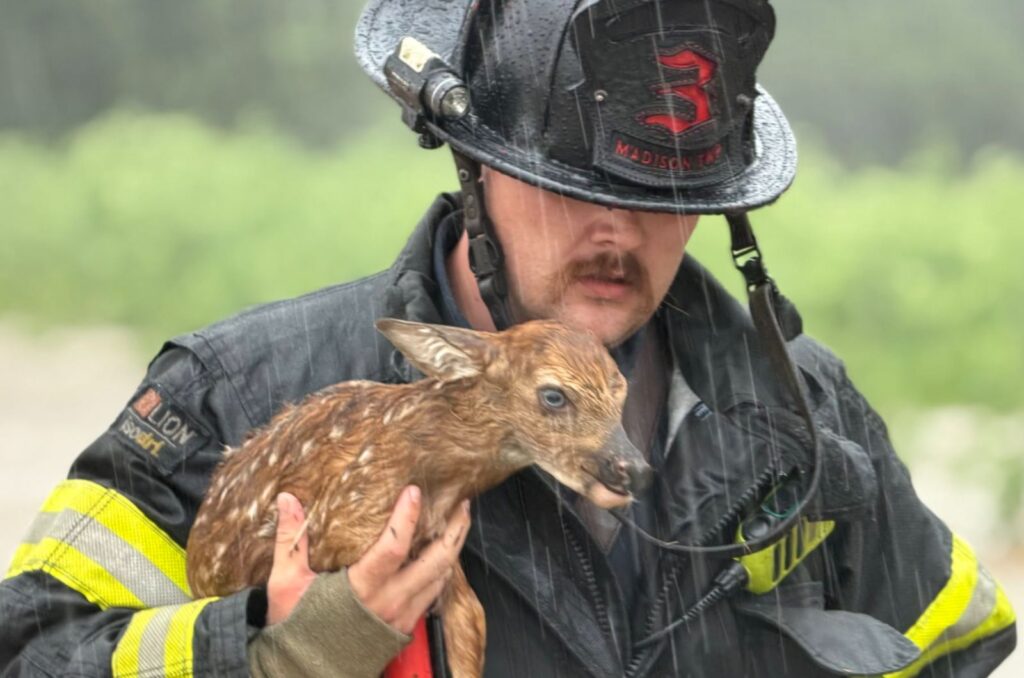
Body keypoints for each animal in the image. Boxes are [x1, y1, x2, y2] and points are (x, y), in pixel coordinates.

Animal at [186, 318, 652, 678]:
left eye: (622, 393)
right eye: (554, 395)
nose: (635, 469)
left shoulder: (438, 544)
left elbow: (473, 621)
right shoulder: (339, 529)